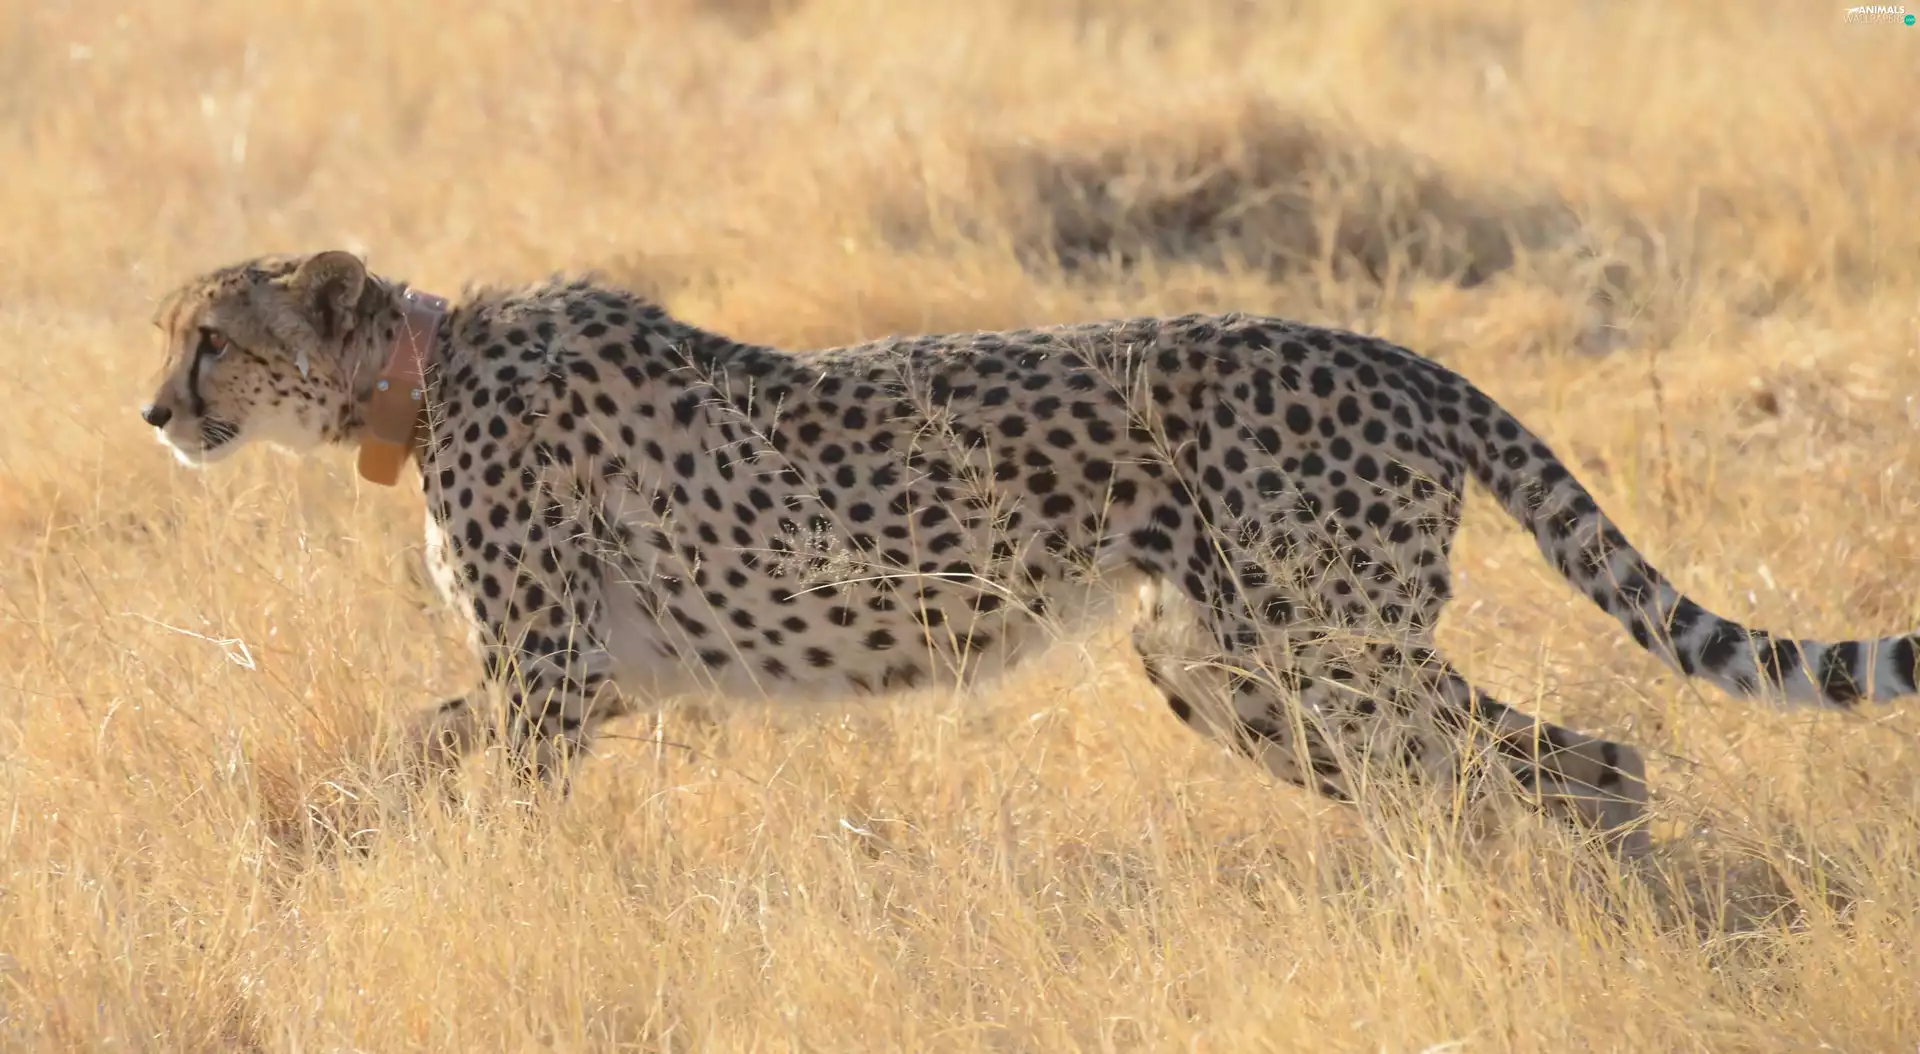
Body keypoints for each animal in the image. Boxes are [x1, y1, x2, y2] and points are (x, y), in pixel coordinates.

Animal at [139, 249, 1920, 858]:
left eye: (212, 337)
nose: (154, 410)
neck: (416, 372)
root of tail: (1388, 352)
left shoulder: (557, 676)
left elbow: (453, 769)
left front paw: (412, 863)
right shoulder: (612, 681)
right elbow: (418, 745)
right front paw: (336, 838)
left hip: (1319, 646)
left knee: (1572, 759)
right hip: (1218, 661)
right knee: (1506, 776)